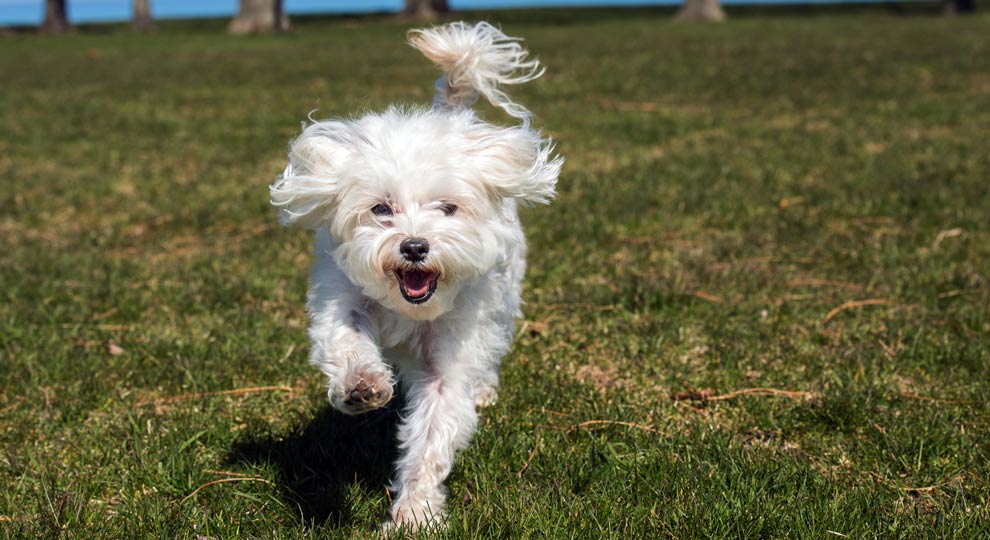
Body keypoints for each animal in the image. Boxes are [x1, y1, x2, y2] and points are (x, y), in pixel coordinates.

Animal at [270, 22, 564, 532]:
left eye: (447, 208)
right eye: (380, 209)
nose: (413, 246)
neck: (409, 308)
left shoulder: (452, 352)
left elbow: (432, 434)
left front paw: (414, 515)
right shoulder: (340, 297)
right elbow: (345, 339)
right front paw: (361, 385)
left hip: (504, 302)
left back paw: (484, 389)